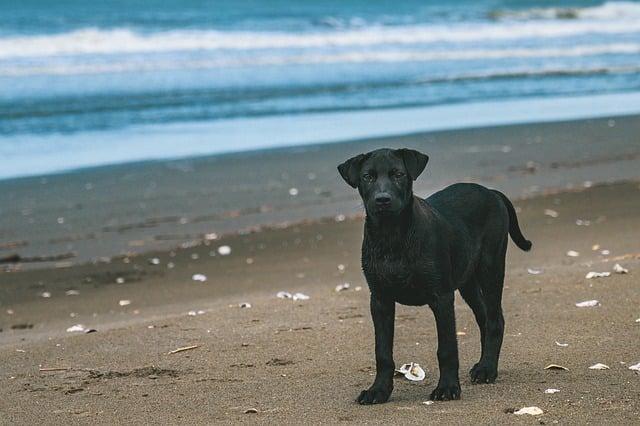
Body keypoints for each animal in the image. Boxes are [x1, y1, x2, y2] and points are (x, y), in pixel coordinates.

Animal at [338, 148, 532, 404]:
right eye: (367, 176)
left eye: (398, 174)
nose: (382, 199)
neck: (392, 236)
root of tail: (491, 191)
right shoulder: (380, 299)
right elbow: (383, 352)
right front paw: (378, 390)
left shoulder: (441, 297)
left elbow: (447, 347)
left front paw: (448, 387)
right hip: (467, 281)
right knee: (483, 317)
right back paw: (483, 364)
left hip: (491, 266)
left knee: (494, 319)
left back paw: (487, 369)